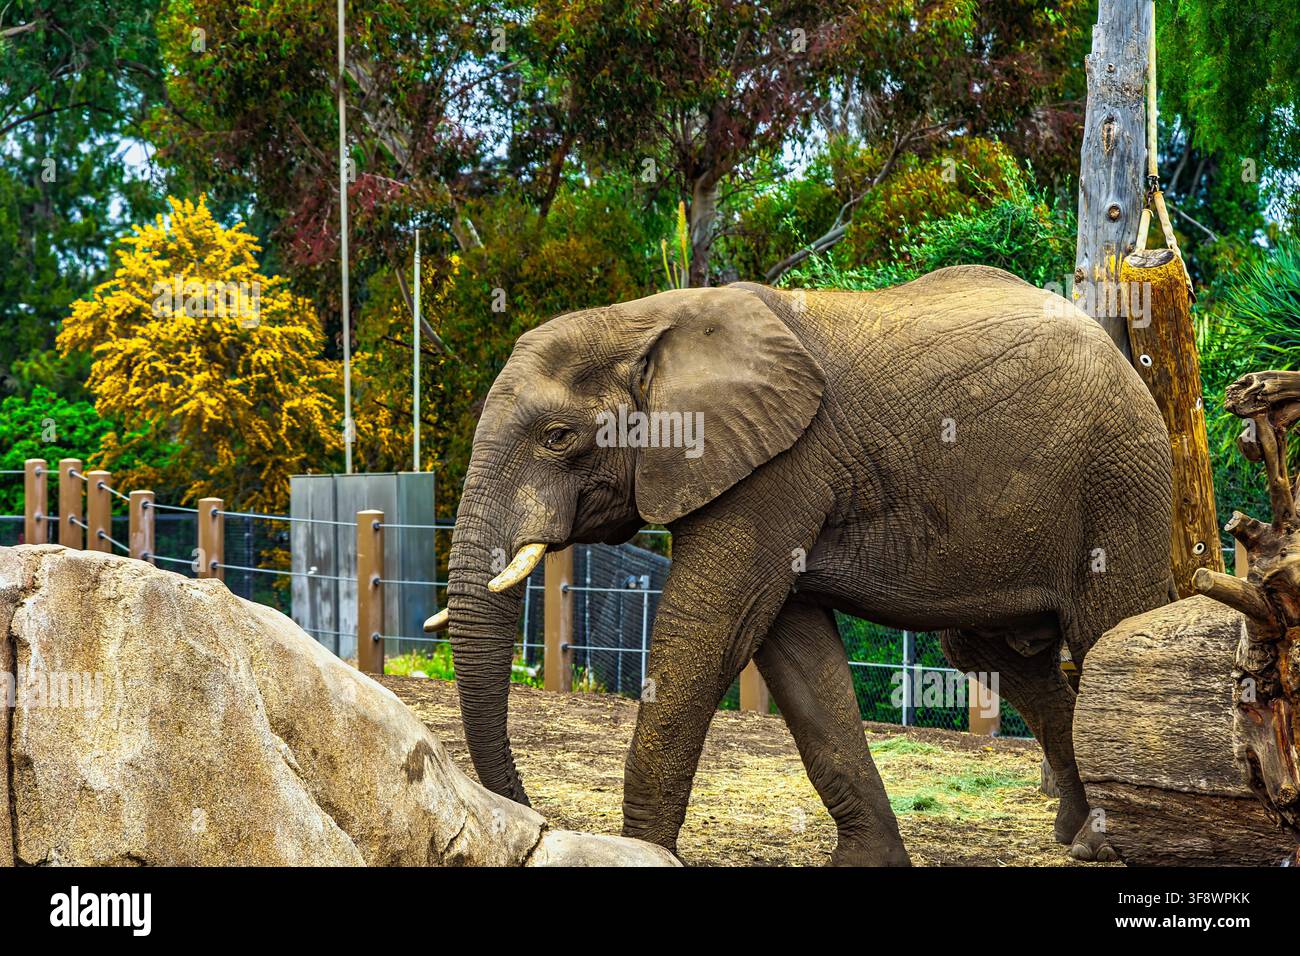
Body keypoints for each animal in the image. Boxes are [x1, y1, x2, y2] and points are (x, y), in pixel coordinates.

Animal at [427, 264, 1173, 865]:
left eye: (558, 438)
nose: (532, 815)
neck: (643, 319)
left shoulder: (777, 467)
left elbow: (707, 635)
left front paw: (641, 855)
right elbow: (796, 656)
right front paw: (868, 863)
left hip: (1117, 480)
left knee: (1107, 636)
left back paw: (1102, 841)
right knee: (994, 655)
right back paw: (1075, 833)